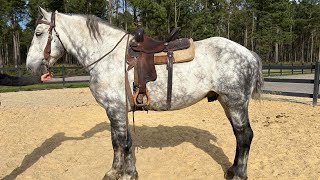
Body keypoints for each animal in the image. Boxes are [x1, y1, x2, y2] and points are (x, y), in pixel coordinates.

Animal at [26, 8, 262, 180]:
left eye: (38, 33)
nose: (30, 67)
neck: (108, 56)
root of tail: (249, 53)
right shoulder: (119, 110)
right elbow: (123, 141)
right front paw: (123, 172)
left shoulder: (115, 109)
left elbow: (121, 142)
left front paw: (121, 173)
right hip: (227, 102)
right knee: (239, 136)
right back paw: (232, 170)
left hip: (235, 103)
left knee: (245, 136)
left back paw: (239, 175)